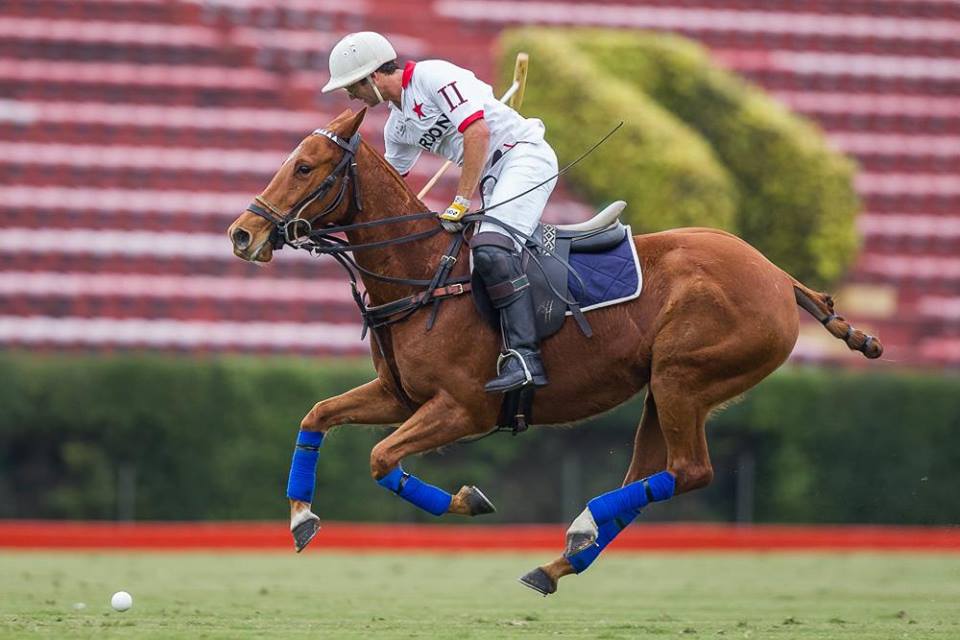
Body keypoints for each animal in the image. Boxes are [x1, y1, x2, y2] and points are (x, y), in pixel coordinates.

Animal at [227, 107, 882, 596]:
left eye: (304, 166)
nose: (242, 234)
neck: (425, 272)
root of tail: (778, 275)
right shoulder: (399, 395)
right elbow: (317, 415)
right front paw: (301, 518)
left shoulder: (463, 408)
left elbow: (381, 458)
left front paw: (467, 498)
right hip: (665, 390)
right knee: (655, 472)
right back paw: (559, 561)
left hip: (686, 376)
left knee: (690, 470)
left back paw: (581, 527)